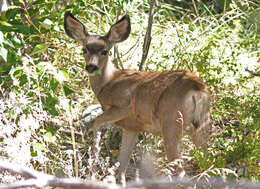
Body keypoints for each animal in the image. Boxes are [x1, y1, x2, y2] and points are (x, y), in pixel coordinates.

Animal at [63, 11, 211, 176]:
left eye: (104, 51)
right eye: (84, 50)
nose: (91, 67)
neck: (109, 82)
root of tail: (196, 88)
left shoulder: (124, 106)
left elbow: (97, 123)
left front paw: (94, 162)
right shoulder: (131, 127)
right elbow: (122, 163)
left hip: (171, 122)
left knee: (180, 169)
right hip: (203, 123)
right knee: (209, 161)